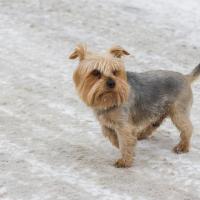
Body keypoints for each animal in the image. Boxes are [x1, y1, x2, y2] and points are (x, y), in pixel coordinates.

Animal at [69, 44, 200, 168]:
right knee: (155, 123)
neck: (109, 100)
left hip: (178, 112)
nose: (112, 83)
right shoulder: (106, 124)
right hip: (158, 110)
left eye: (115, 71)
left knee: (187, 127)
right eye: (95, 72)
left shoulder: (124, 126)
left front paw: (125, 160)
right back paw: (141, 134)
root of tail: (185, 77)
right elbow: (113, 137)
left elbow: (125, 142)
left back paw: (182, 146)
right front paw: (127, 147)